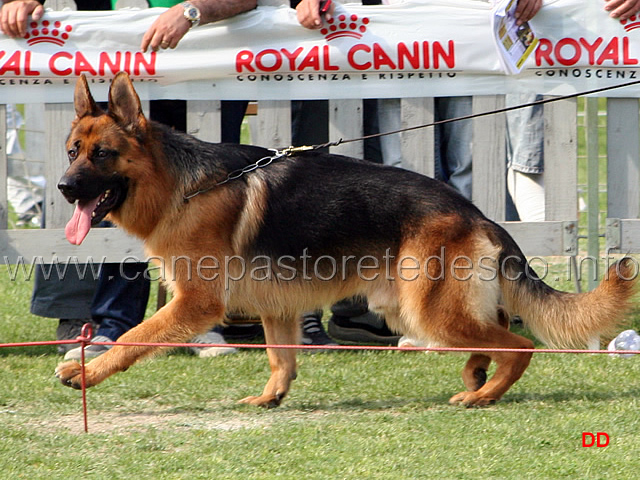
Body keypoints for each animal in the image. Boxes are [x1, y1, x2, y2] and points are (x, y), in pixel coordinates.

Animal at [53, 73, 636, 406]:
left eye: (102, 155)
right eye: (71, 152)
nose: (62, 188)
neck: (185, 185)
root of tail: (476, 212)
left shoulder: (195, 303)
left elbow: (134, 337)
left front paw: (85, 371)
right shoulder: (276, 307)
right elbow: (280, 358)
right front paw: (271, 398)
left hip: (426, 310)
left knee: (517, 344)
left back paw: (484, 394)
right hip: (421, 306)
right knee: (493, 327)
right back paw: (476, 373)